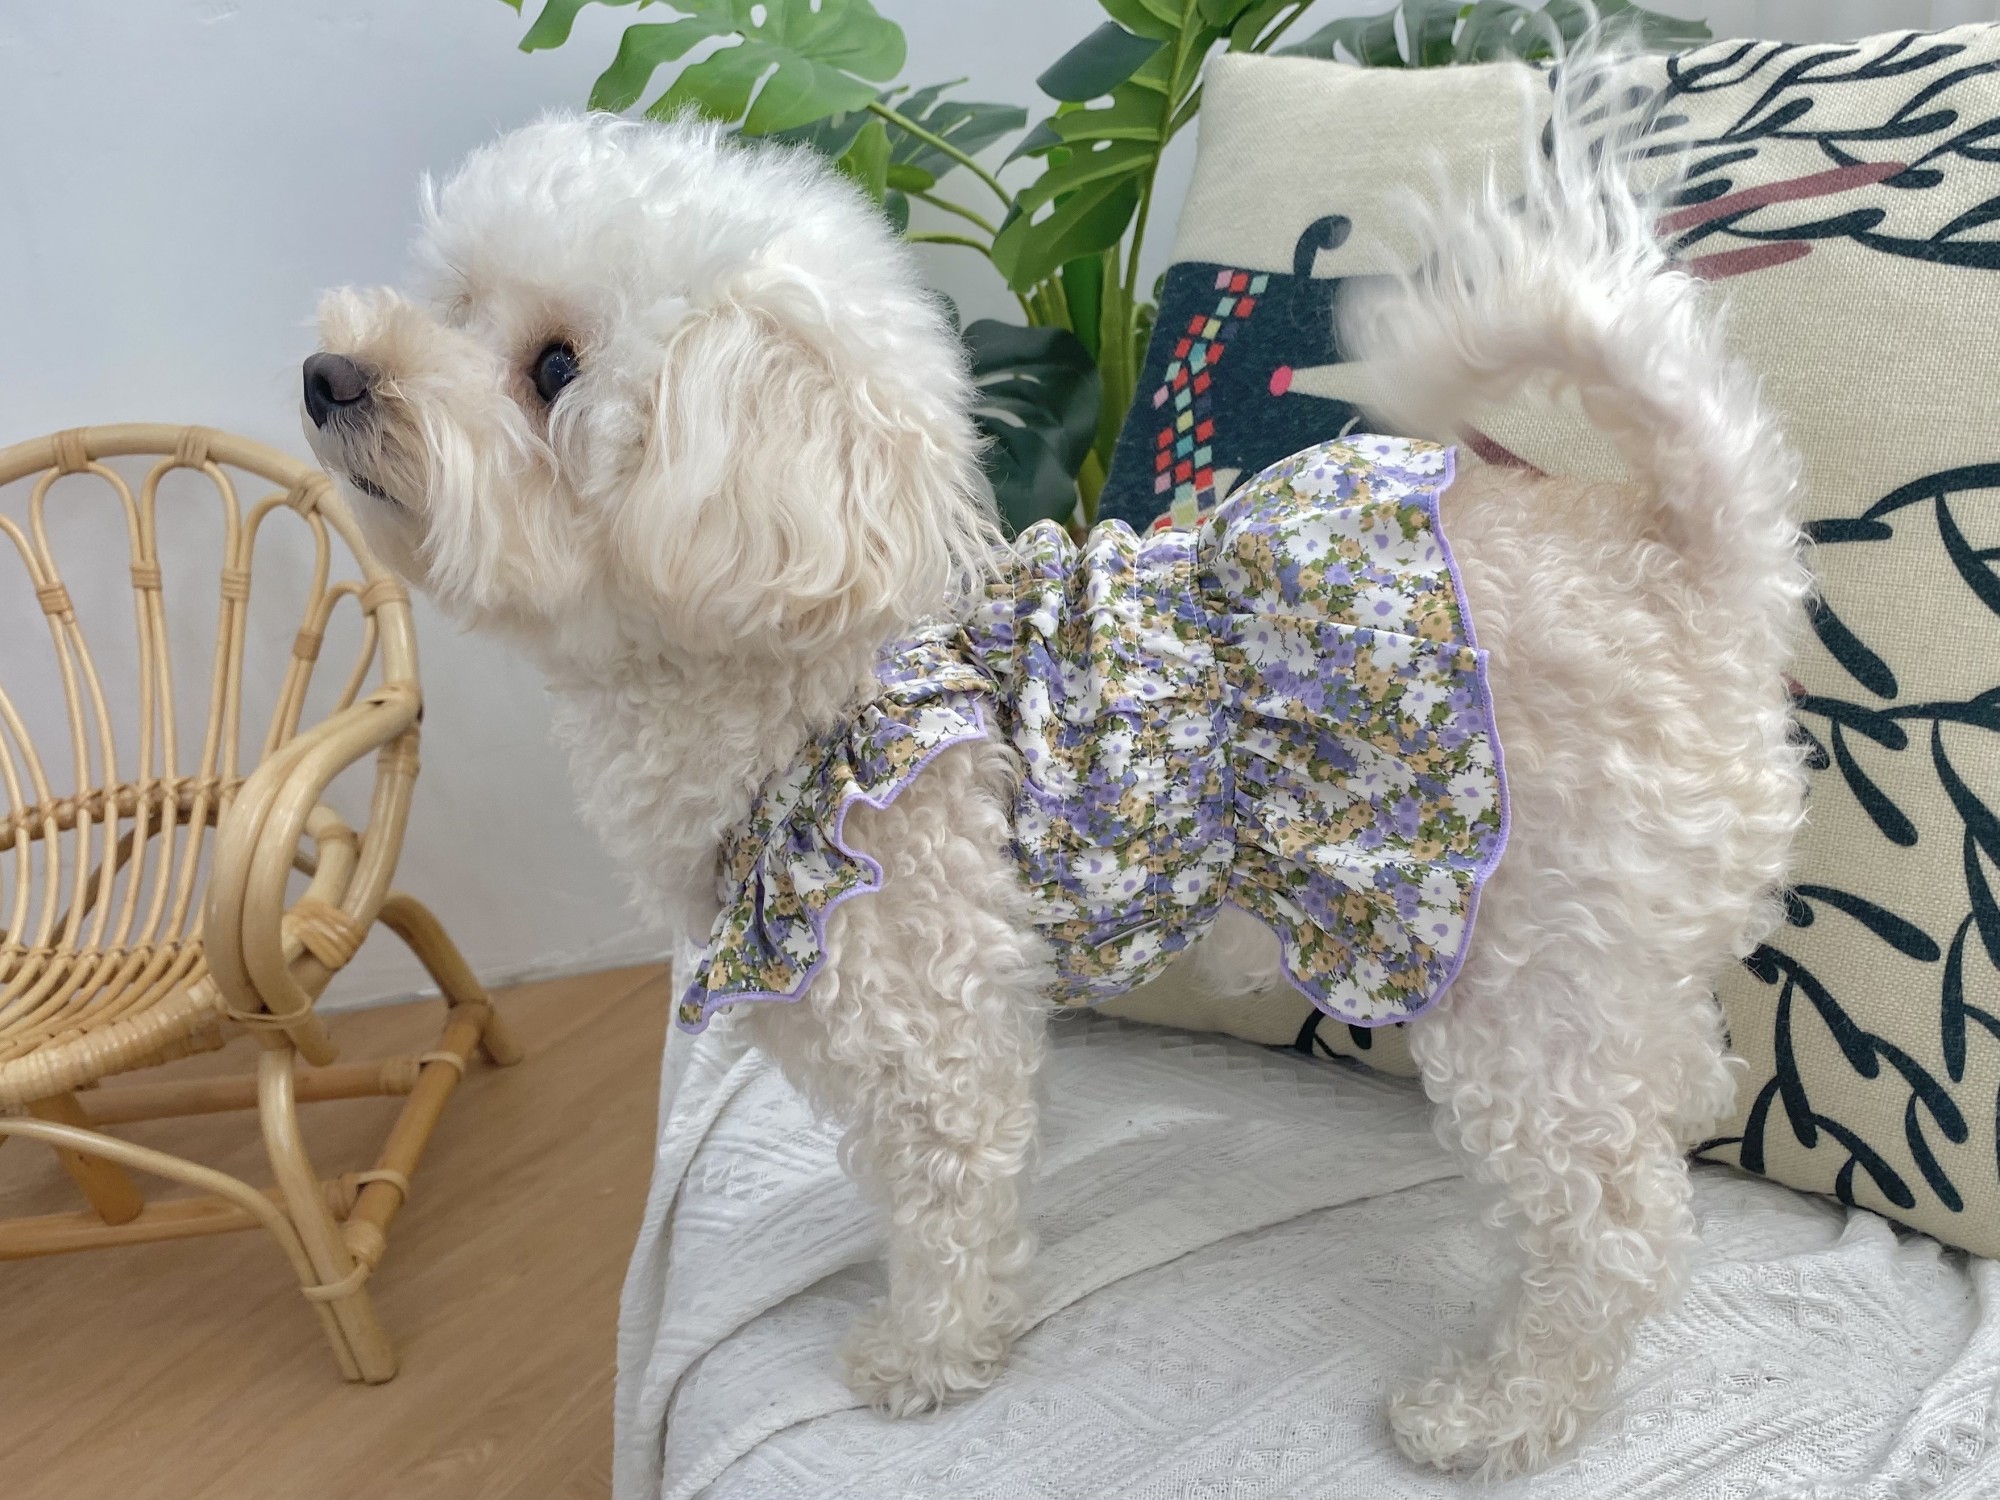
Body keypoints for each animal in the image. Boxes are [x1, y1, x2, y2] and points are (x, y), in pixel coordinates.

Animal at [303, 57, 1808, 1477]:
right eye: (448, 299)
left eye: (553, 367)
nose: (327, 374)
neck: (807, 659)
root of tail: (1684, 553)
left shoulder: (928, 1022)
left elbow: (944, 1210)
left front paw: (923, 1355)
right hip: (1609, 956)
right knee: (1680, 1080)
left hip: (1523, 976)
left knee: (1616, 1222)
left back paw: (1499, 1410)